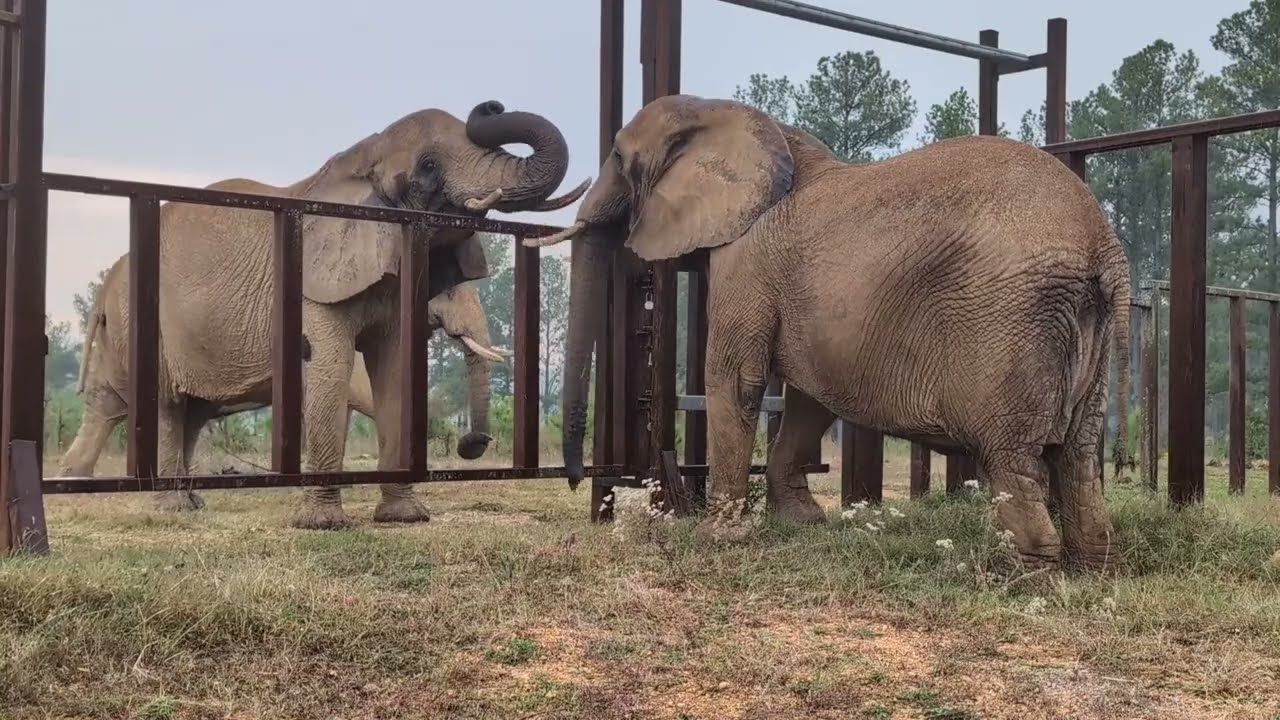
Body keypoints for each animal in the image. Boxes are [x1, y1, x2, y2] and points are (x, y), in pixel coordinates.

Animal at [531, 94, 1132, 570]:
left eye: (618, 157)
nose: (577, 479)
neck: (733, 116)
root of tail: (1102, 245)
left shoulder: (747, 259)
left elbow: (735, 379)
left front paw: (716, 539)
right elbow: (808, 400)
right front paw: (803, 524)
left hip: (1011, 324)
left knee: (1013, 458)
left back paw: (1023, 575)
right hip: (1088, 336)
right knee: (1079, 454)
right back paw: (1092, 568)